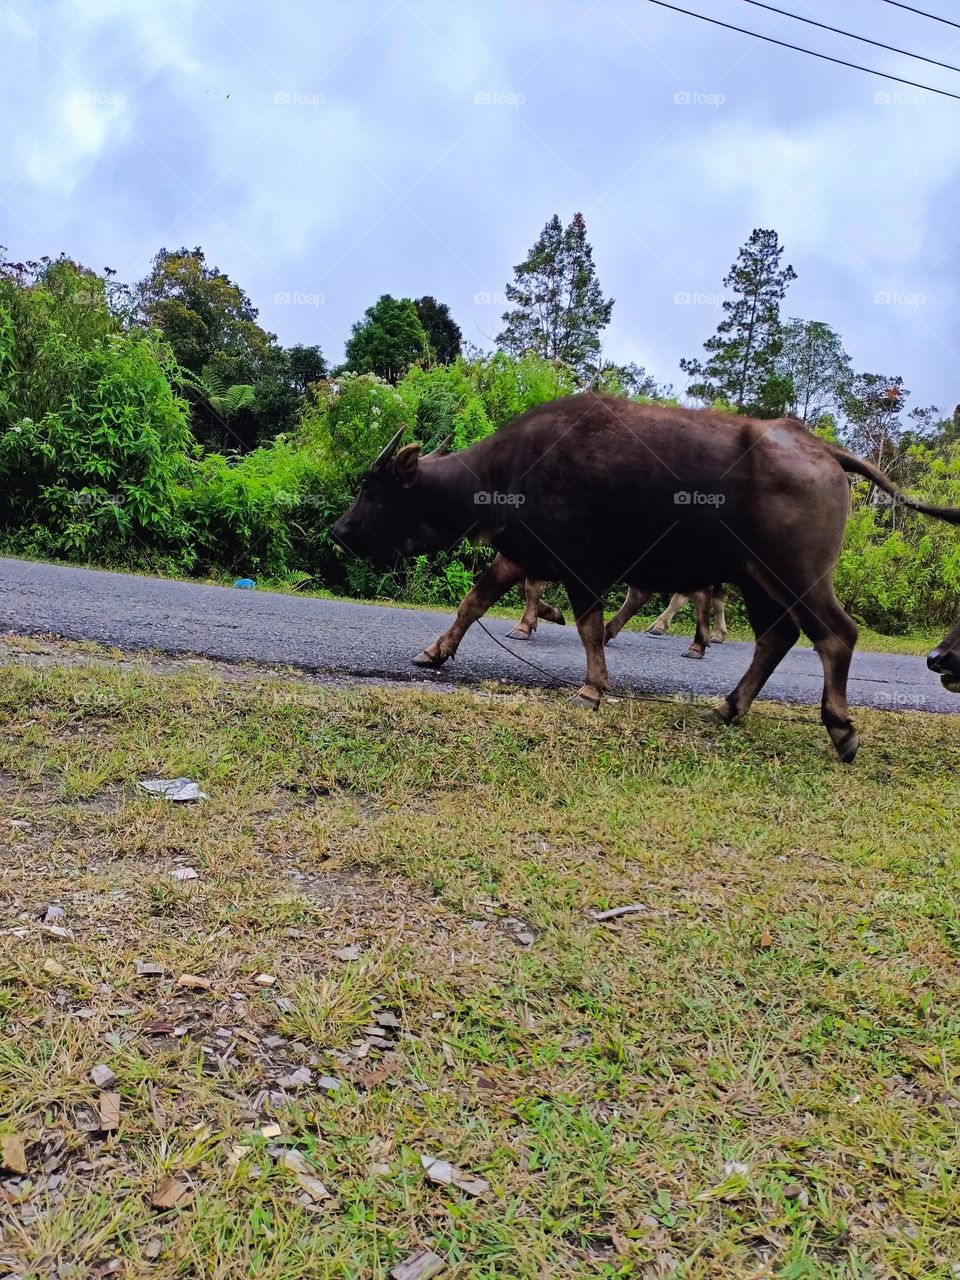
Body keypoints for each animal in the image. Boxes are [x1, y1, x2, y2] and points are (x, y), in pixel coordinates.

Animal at [332, 394, 960, 761]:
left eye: (372, 487)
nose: (338, 530)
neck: (509, 469)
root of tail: (821, 449)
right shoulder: (520, 555)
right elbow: (474, 601)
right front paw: (435, 652)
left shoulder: (581, 568)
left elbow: (586, 626)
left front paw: (593, 686)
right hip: (756, 579)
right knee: (776, 637)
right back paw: (728, 707)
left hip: (797, 572)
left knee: (835, 634)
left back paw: (840, 728)